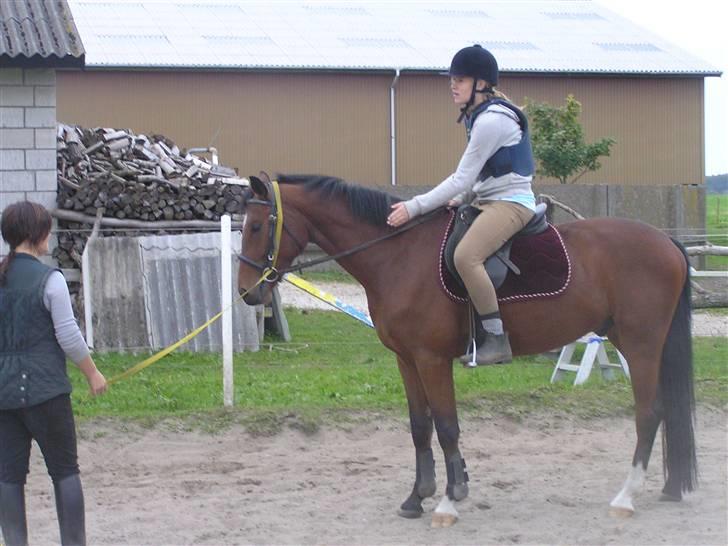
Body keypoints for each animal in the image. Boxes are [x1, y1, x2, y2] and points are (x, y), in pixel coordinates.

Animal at [236, 172, 696, 524]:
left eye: (256, 227)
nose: (246, 293)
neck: (398, 255)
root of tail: (666, 242)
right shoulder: (406, 360)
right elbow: (419, 427)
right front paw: (417, 496)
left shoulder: (432, 360)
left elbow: (446, 427)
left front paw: (449, 499)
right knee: (667, 410)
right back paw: (670, 487)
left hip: (641, 344)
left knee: (649, 412)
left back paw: (626, 496)